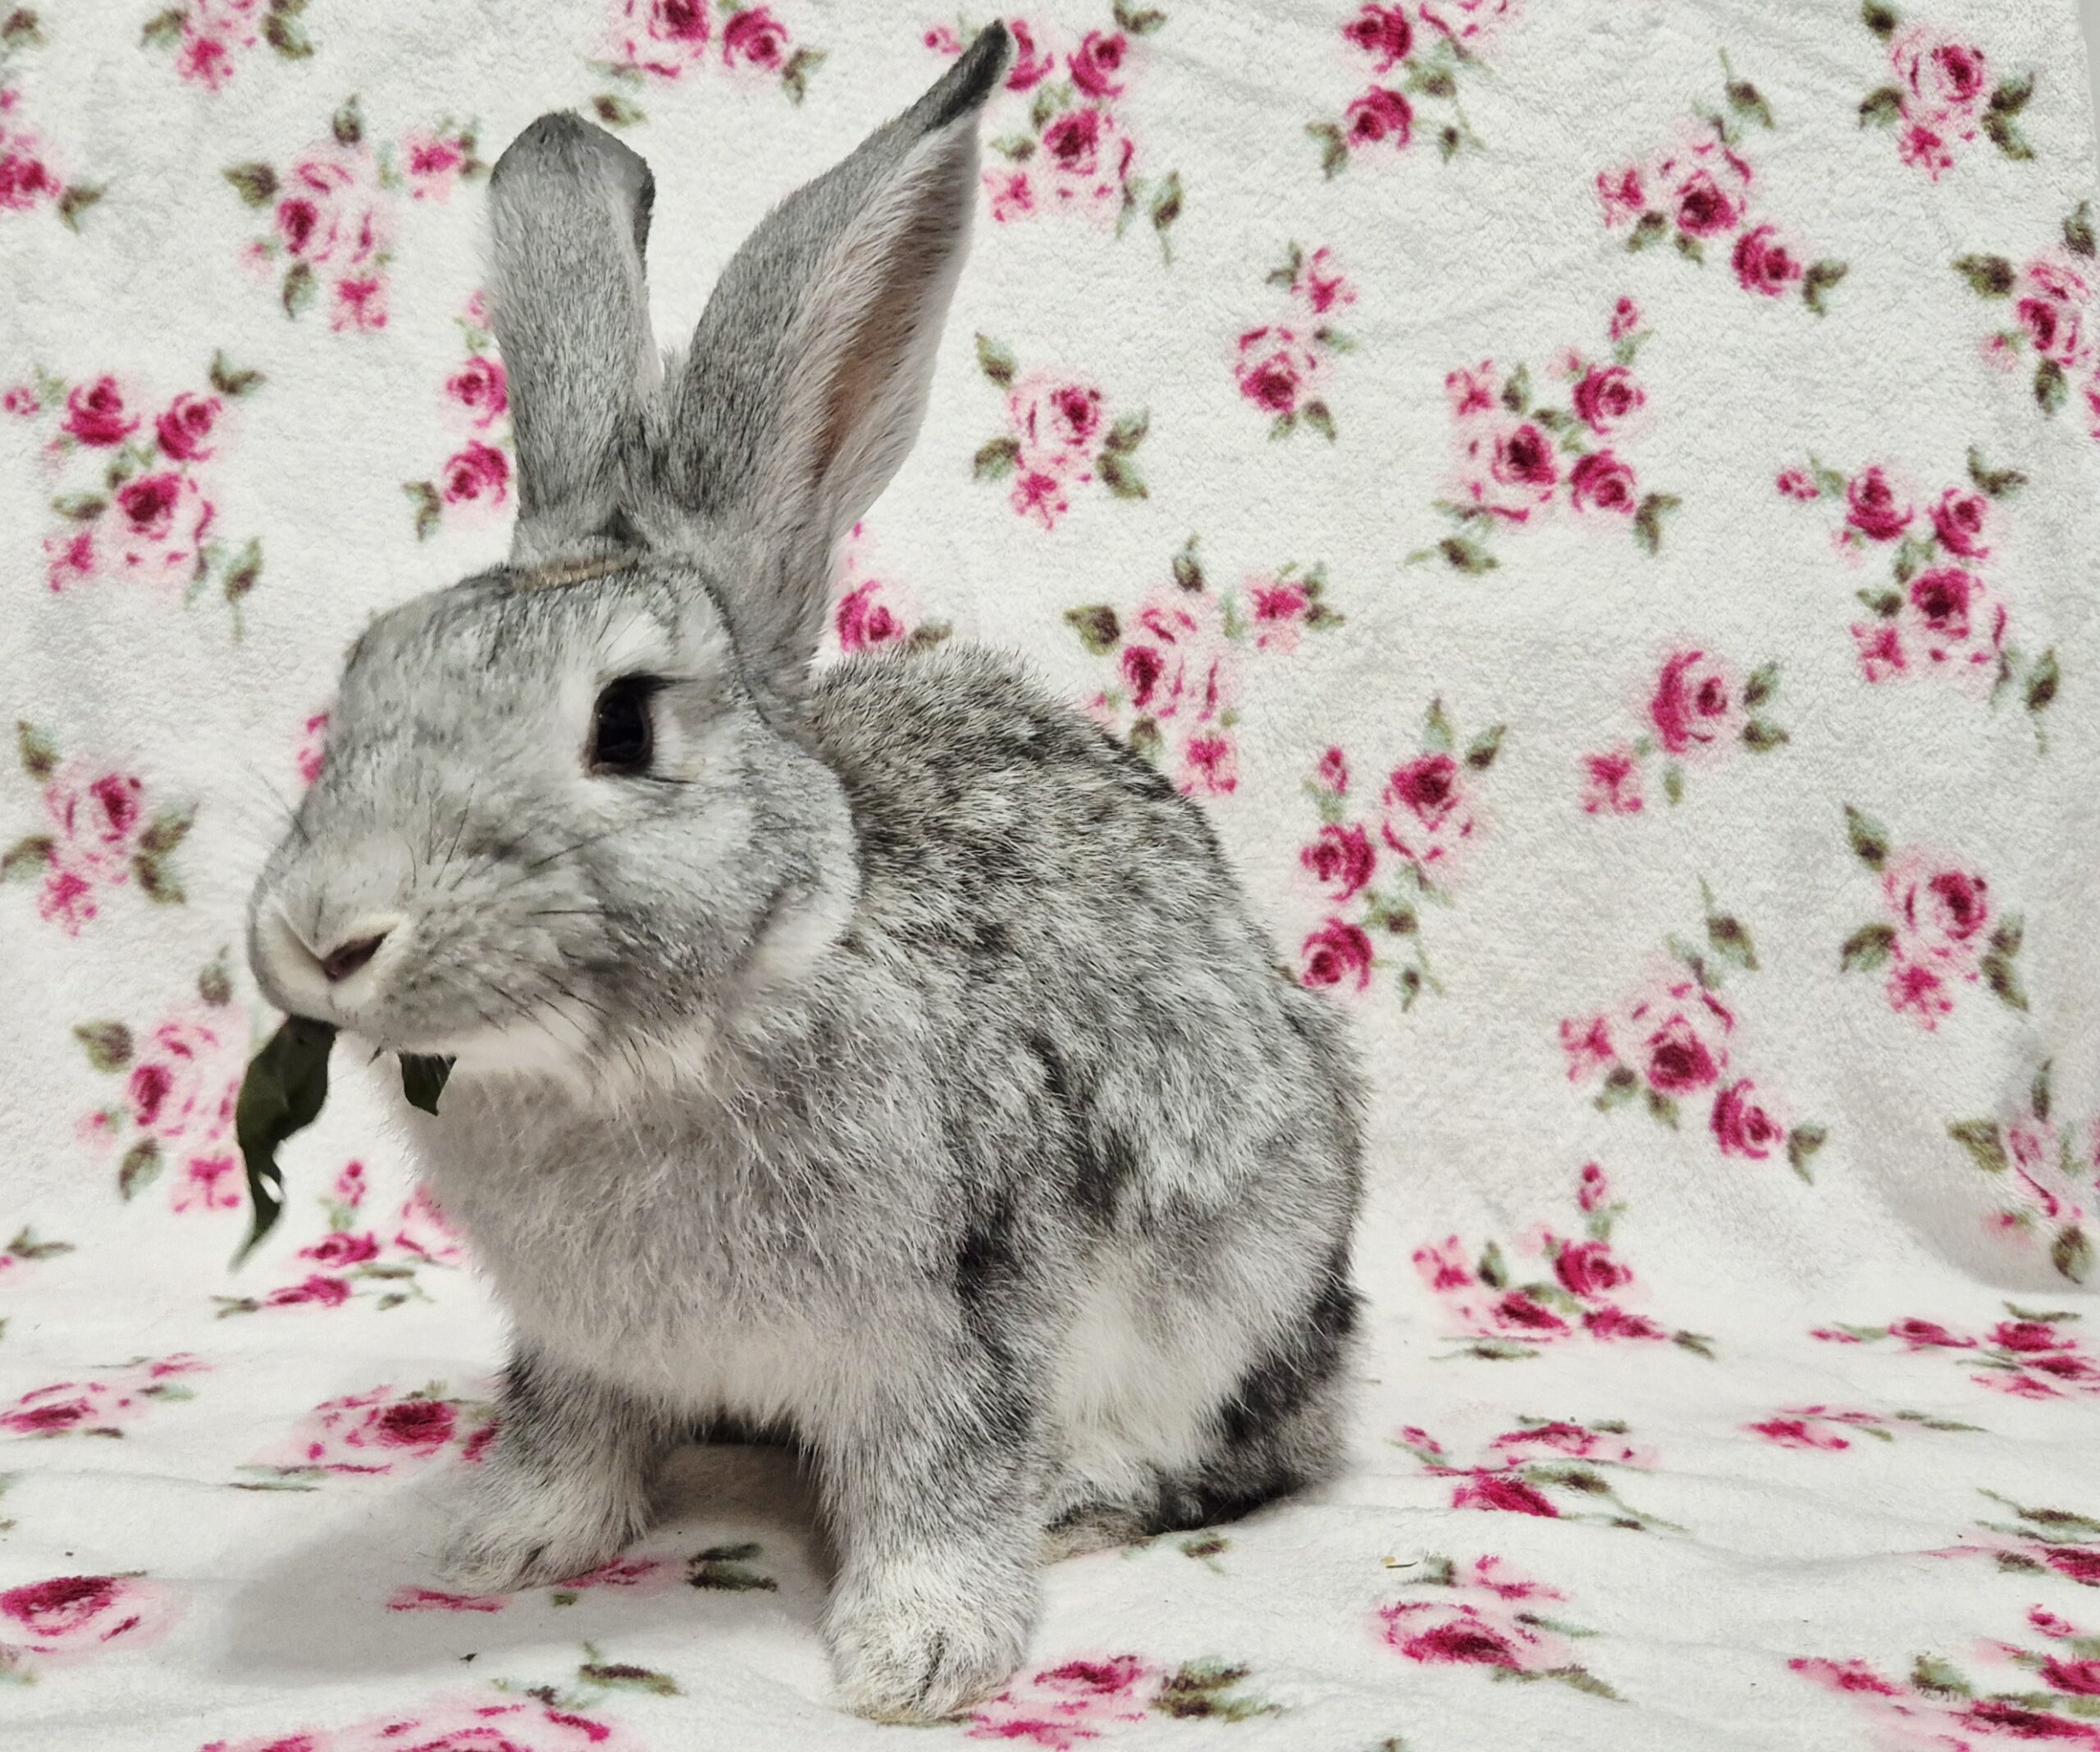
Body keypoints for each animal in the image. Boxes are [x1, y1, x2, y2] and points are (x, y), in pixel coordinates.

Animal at [245, 22, 1364, 1723]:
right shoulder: (575, 1344)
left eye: (627, 725)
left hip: (1245, 1284)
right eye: (365, 677)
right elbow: (569, 1429)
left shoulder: (956, 1318)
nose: (323, 933)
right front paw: (511, 1540)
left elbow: (941, 1482)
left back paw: (1084, 1494)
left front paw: (920, 1658)